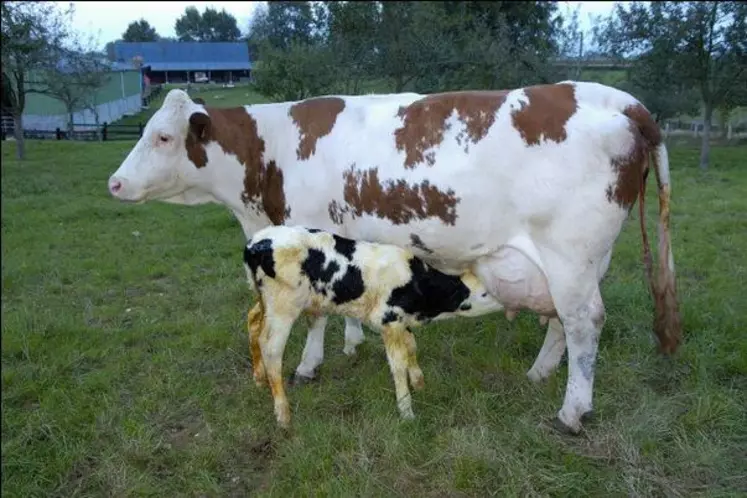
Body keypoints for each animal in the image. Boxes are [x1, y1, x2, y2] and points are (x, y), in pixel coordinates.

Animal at [245, 226, 502, 428]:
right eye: (486, 292)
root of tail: (256, 243)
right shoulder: (389, 319)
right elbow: (397, 364)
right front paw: (406, 411)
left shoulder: (400, 319)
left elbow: (412, 346)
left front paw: (419, 382)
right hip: (283, 307)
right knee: (271, 349)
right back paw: (283, 414)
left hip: (264, 300)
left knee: (253, 322)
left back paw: (259, 379)